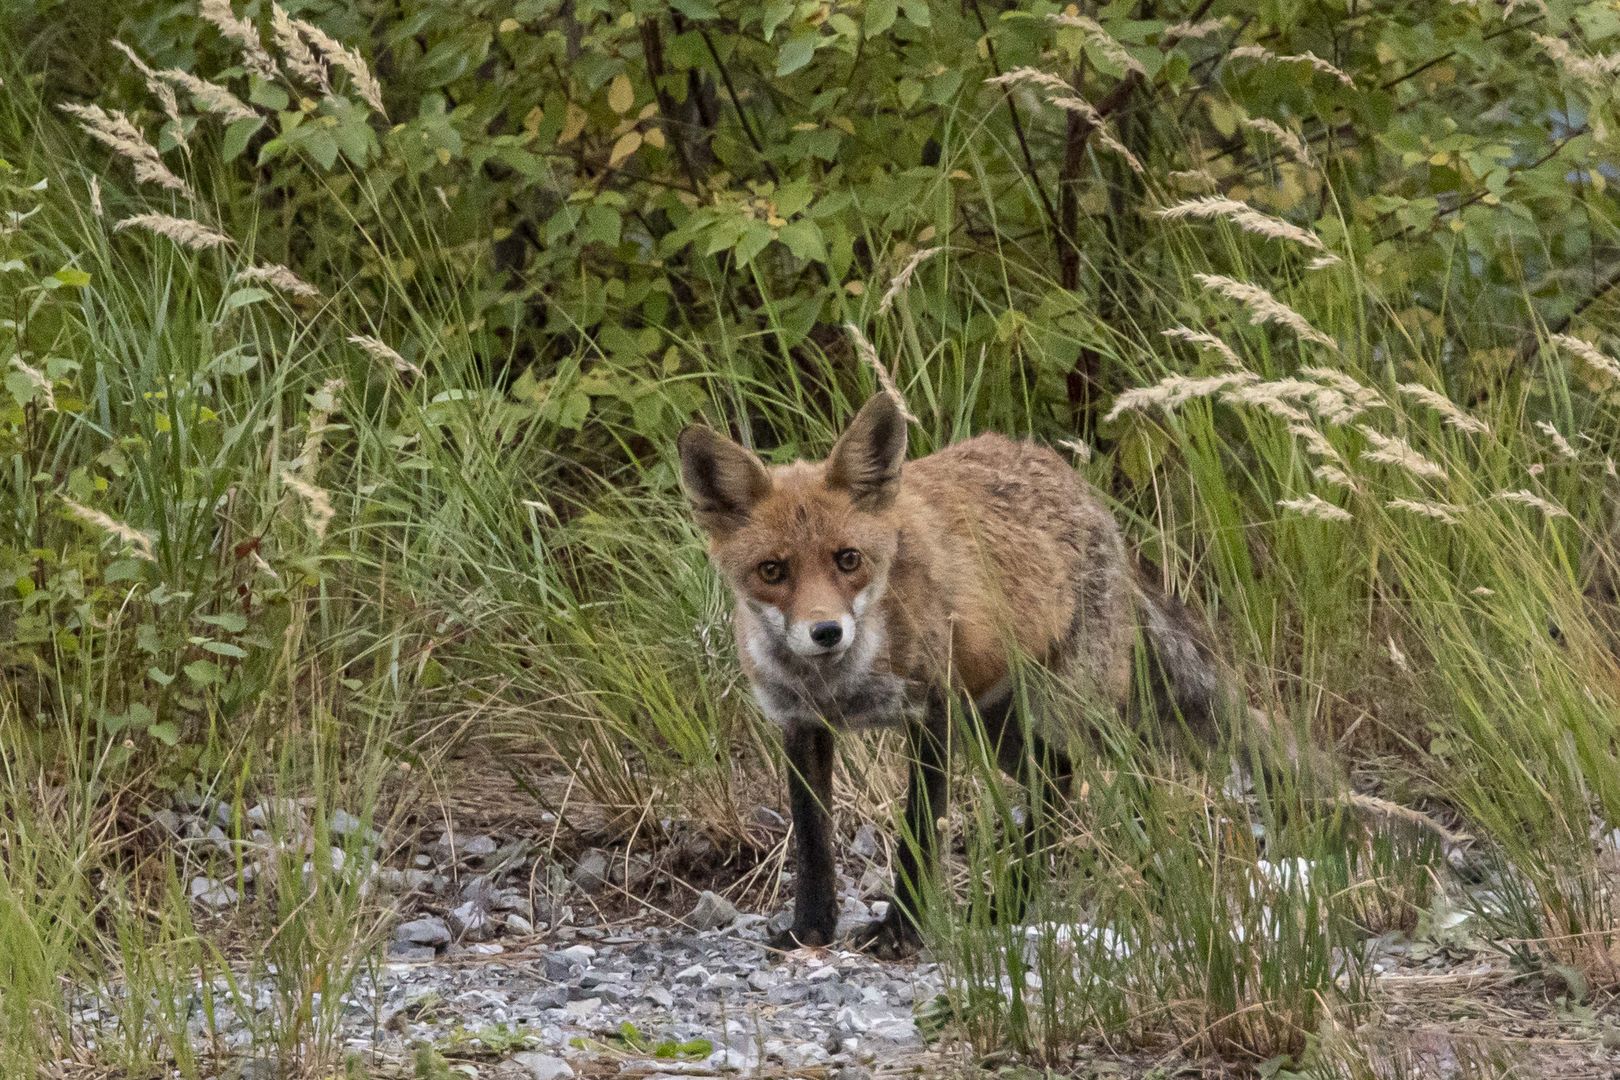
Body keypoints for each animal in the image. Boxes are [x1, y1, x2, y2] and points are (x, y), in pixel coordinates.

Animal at [680, 393, 1224, 958]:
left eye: (848, 559)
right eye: (772, 571)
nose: (826, 631)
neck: (840, 687)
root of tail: (1079, 486)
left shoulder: (929, 712)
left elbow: (919, 834)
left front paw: (899, 932)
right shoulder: (800, 724)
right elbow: (811, 842)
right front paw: (809, 928)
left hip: (1075, 713)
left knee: (1130, 786)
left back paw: (1153, 886)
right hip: (995, 729)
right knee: (1055, 779)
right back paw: (1010, 901)